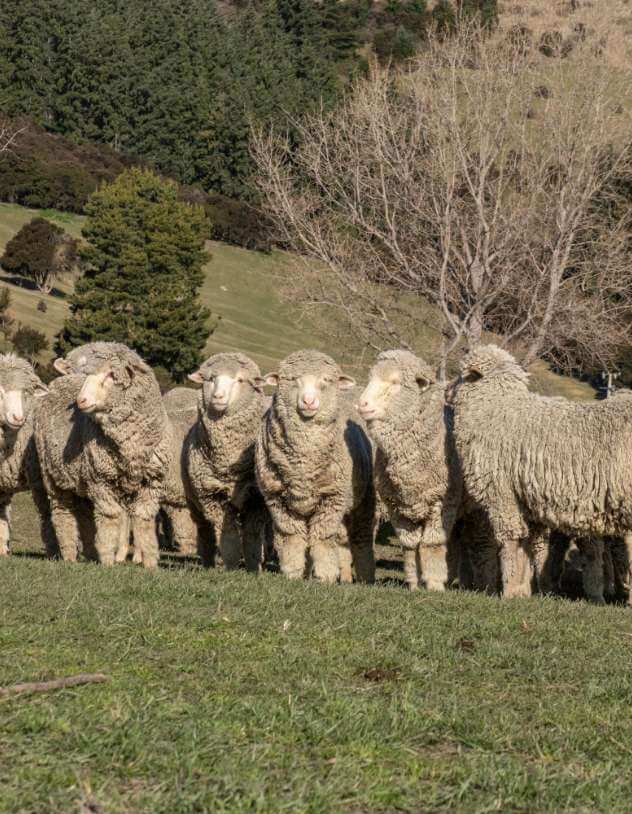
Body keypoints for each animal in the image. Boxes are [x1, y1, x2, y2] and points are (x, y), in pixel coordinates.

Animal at [35, 345, 171, 568]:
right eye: (85, 375)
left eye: (111, 375)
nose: (81, 401)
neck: (131, 444)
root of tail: (56, 383)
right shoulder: (101, 480)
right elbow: (110, 516)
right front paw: (107, 560)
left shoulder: (152, 481)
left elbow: (143, 520)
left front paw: (151, 563)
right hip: (53, 475)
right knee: (63, 513)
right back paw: (70, 555)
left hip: (82, 480)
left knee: (84, 515)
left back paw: (90, 554)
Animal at [186, 352, 269, 572]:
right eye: (211, 378)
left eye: (240, 380)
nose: (218, 397)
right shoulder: (212, 496)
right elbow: (228, 537)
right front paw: (230, 566)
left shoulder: (256, 499)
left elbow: (252, 537)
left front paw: (253, 568)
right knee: (205, 532)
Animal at [255, 349, 376, 583]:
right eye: (293, 379)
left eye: (326, 381)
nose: (309, 401)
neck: (304, 457)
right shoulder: (279, 500)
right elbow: (293, 537)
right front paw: (293, 572)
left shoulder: (332, 498)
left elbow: (322, 538)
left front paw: (326, 575)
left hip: (363, 500)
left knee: (361, 537)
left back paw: (366, 576)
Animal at [453, 343, 632, 598]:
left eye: (462, 375)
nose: (447, 392)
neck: (495, 408)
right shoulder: (527, 501)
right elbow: (527, 545)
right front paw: (523, 590)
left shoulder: (502, 493)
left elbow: (511, 540)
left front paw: (509, 591)